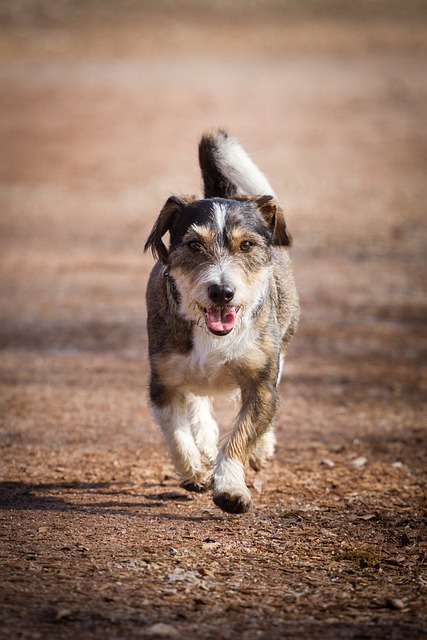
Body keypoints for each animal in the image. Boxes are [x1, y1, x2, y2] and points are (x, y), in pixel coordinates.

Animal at [145, 131, 300, 516]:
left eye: (246, 245)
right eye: (193, 245)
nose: (222, 291)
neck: (211, 335)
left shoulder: (261, 386)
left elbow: (240, 436)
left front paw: (230, 487)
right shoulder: (162, 381)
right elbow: (176, 432)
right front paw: (194, 470)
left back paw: (260, 449)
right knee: (198, 401)